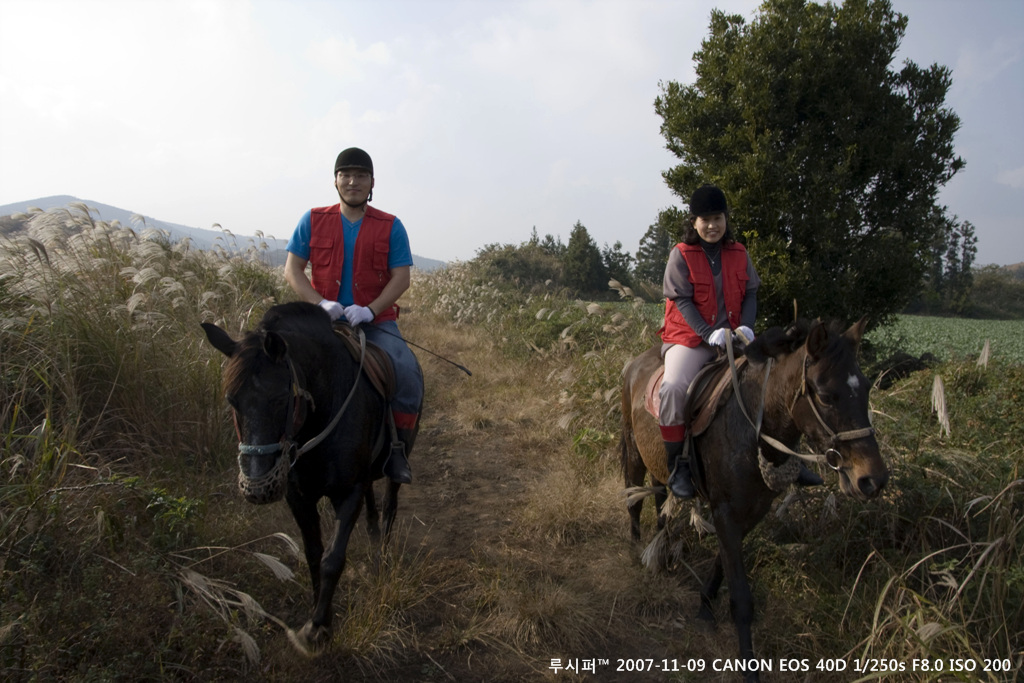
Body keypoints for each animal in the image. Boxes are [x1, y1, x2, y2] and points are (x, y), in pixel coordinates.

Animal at [199, 303, 415, 651]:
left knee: (391, 504)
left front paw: (317, 628)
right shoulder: (298, 496)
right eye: (232, 400)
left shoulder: (348, 493)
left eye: (281, 398)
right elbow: (313, 554)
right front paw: (318, 612)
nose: (257, 487)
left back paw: (381, 554)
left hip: (399, 457)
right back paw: (371, 533)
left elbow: (332, 559)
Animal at [618, 319, 884, 679]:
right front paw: (748, 666)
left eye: (867, 389)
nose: (872, 480)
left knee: (662, 502)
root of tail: (634, 364)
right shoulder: (726, 512)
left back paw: (662, 550)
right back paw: (637, 549)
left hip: (658, 462)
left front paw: (705, 606)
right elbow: (741, 597)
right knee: (635, 499)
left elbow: (722, 564)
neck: (754, 425)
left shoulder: (752, 511)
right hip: (634, 450)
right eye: (826, 395)